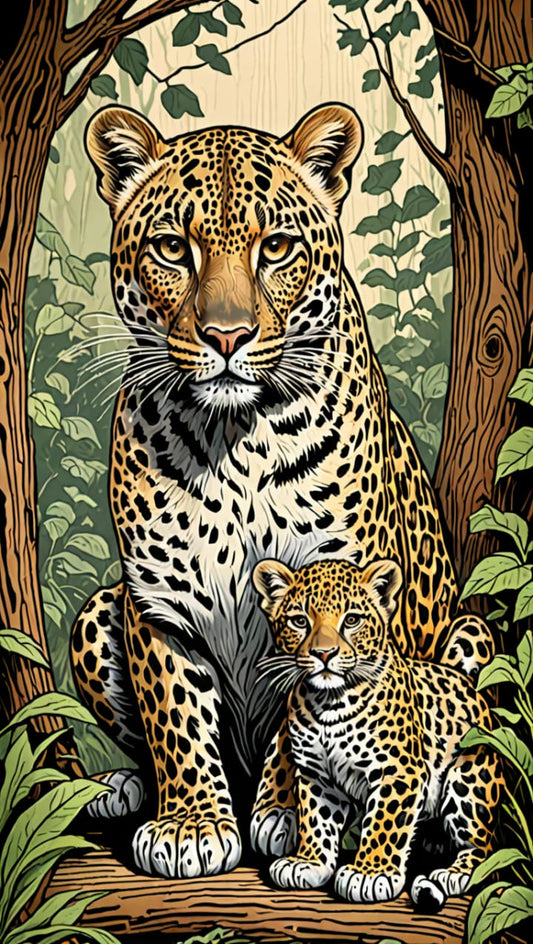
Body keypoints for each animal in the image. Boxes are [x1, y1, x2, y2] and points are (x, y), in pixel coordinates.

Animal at [70, 102, 493, 879]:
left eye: (276, 247)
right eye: (172, 249)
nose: (227, 336)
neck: (233, 440)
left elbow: (295, 711)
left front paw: (283, 815)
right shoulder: (155, 604)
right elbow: (175, 716)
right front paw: (190, 826)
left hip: (470, 632)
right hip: (96, 610)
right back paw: (124, 787)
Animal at [252, 556, 502, 908]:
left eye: (352, 620)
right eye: (300, 621)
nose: (324, 653)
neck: (330, 702)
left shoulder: (398, 772)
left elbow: (384, 822)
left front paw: (370, 873)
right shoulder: (315, 775)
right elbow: (315, 819)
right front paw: (309, 862)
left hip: (469, 781)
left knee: (482, 846)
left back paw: (454, 873)